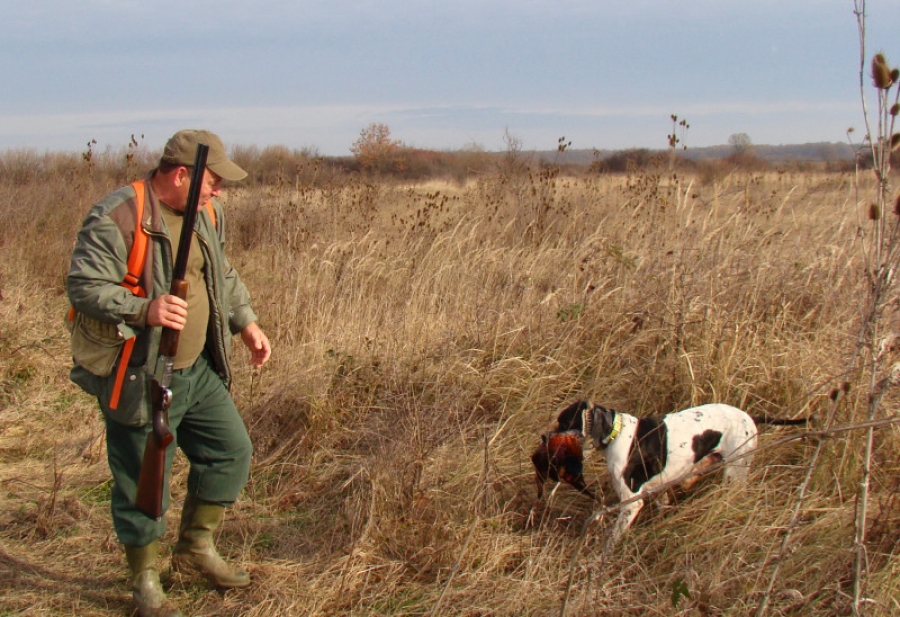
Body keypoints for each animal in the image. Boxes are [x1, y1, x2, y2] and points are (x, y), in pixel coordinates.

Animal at [528, 400, 808, 548]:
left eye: (564, 422)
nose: (544, 437)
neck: (615, 431)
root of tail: (750, 417)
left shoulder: (631, 502)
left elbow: (612, 539)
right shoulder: (658, 490)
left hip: (735, 474)